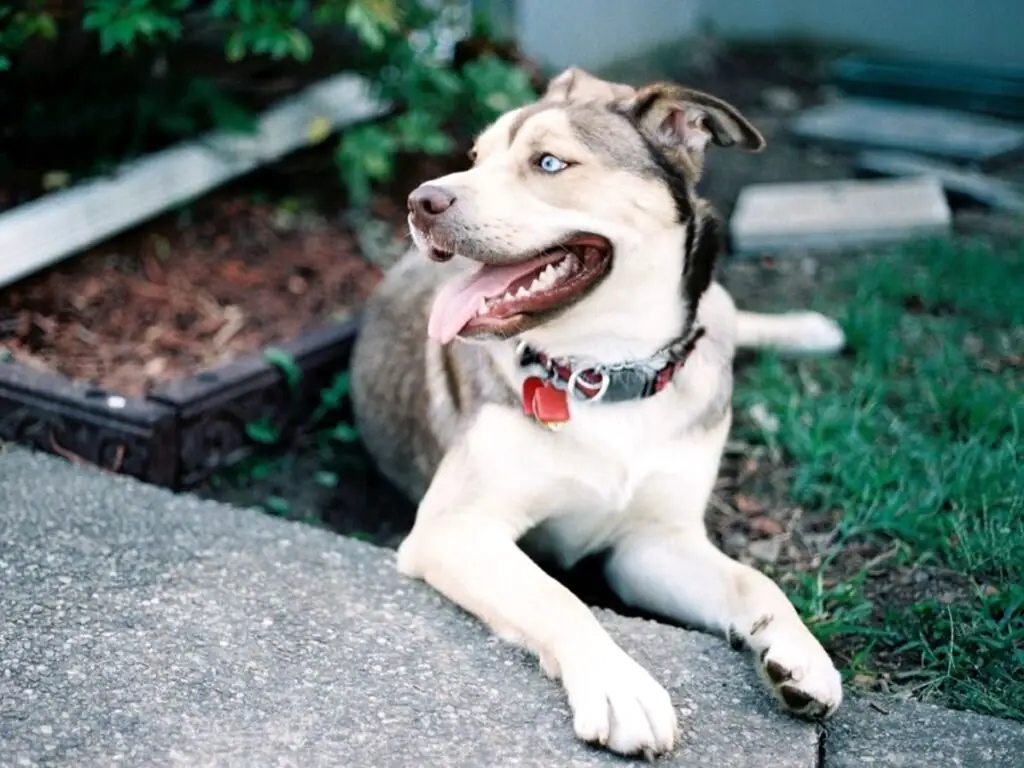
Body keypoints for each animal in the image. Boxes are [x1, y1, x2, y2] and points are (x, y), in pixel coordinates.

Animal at [348, 69, 843, 761]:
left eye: (549, 163)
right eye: (475, 156)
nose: (421, 201)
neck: (604, 371)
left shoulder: (651, 543)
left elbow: (753, 581)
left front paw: (799, 653)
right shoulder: (455, 530)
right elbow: (555, 596)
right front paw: (620, 688)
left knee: (730, 316)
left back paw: (810, 329)